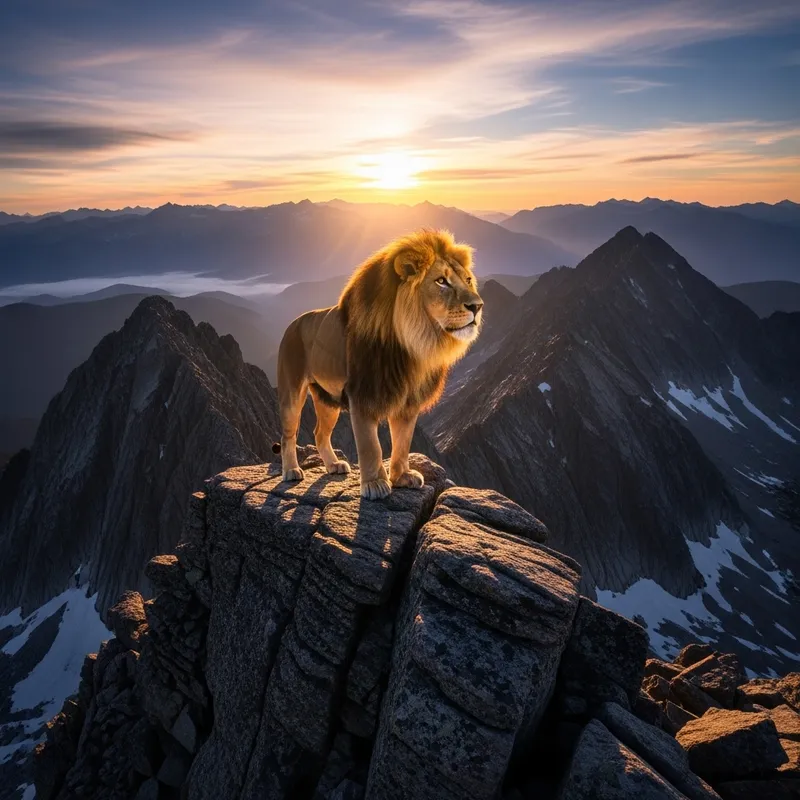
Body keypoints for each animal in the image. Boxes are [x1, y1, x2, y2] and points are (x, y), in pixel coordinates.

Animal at [274, 228, 483, 499]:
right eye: (441, 281)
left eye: (468, 280)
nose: (477, 306)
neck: (413, 345)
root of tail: (292, 323)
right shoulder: (363, 395)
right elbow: (370, 445)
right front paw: (375, 484)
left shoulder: (408, 402)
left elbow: (402, 442)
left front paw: (402, 476)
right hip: (292, 393)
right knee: (288, 434)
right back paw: (291, 470)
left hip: (327, 399)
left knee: (320, 433)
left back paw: (333, 465)